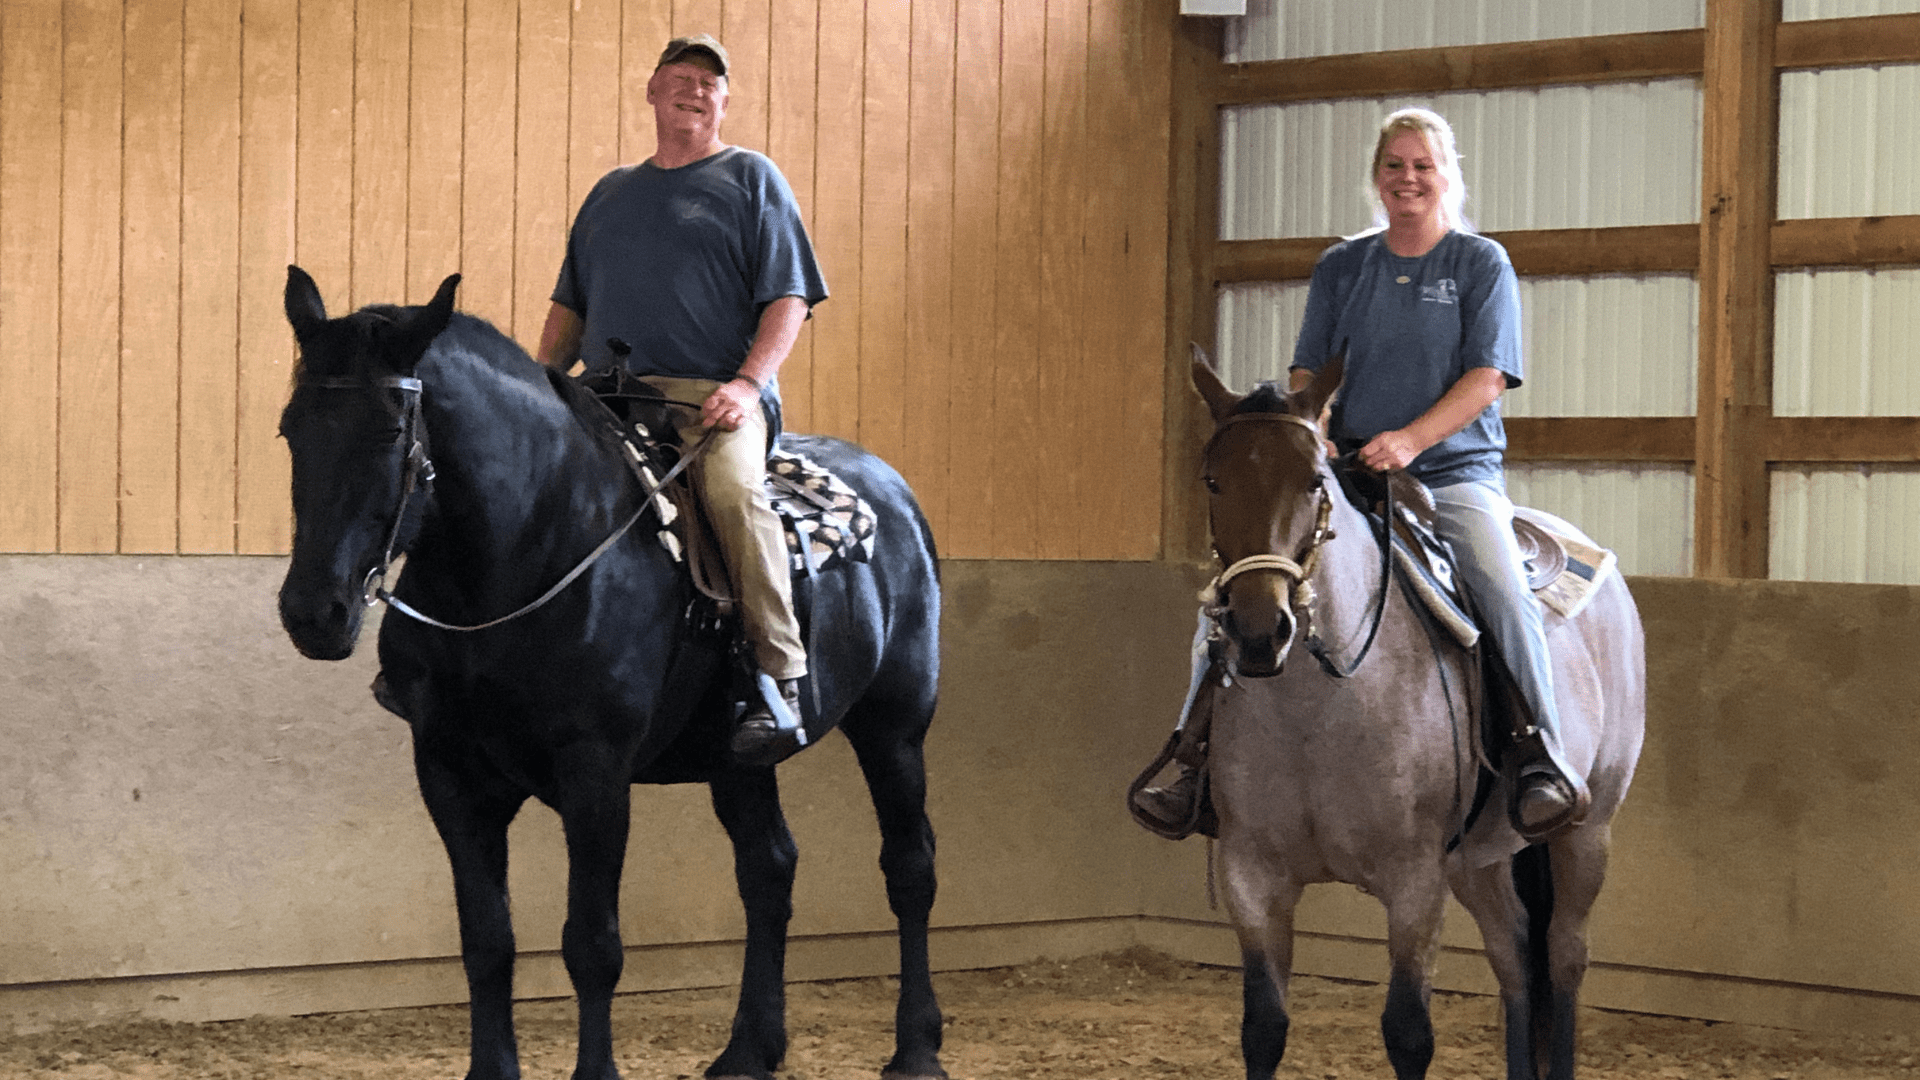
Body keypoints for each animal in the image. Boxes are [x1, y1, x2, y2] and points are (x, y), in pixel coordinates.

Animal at [274, 267, 948, 1076]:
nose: (314, 612)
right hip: (738, 760)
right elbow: (486, 943)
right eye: (290, 430)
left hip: (895, 727)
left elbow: (592, 945)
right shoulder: (449, 774)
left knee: (909, 867)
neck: (529, 552)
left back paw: (916, 1045)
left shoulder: (595, 774)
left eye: (388, 431)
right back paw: (748, 1048)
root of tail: (895, 495)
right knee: (768, 871)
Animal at [1190, 351, 1643, 1076]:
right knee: (1515, 955)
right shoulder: (1252, 876)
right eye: (1213, 480)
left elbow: (1407, 1031)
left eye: (1315, 481)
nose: (1261, 630)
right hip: (1478, 861)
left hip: (1587, 831)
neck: (1317, 713)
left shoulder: (1413, 881)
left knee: (1565, 957)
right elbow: (1263, 1027)